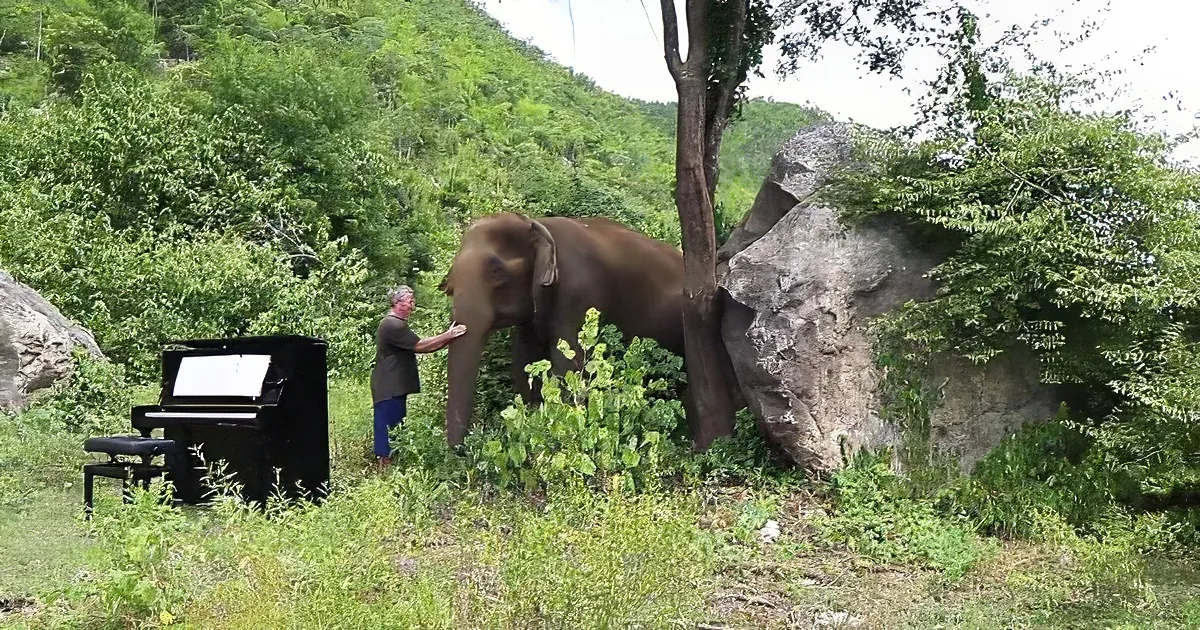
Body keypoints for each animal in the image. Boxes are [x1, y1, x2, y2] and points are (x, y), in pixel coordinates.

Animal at [437, 211, 687, 447]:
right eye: (451, 279)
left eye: (497, 272)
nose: (460, 450)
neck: (537, 223)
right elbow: (524, 363)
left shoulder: (579, 296)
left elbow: (568, 366)